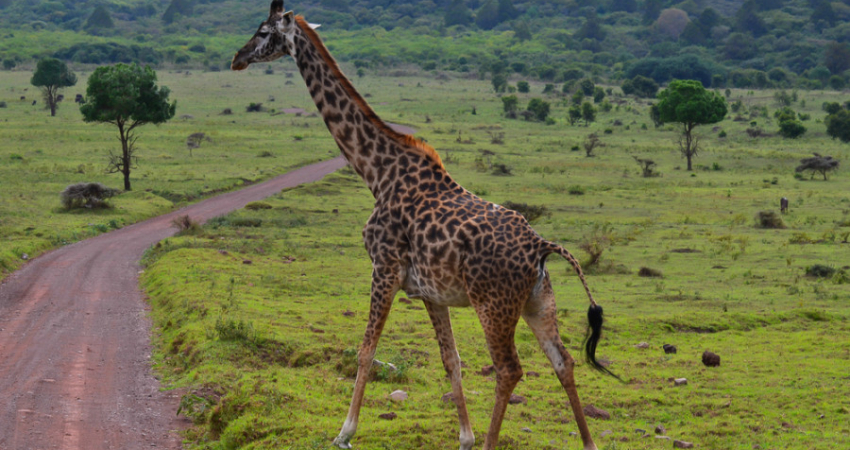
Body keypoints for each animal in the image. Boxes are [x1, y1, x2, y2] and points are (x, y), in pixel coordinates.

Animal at [232, 1, 616, 448]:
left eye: (262, 31)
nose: (237, 58)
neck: (377, 172)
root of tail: (542, 247)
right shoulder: (431, 292)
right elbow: (451, 358)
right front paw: (465, 437)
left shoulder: (384, 268)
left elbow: (366, 350)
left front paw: (345, 432)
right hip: (538, 302)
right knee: (563, 361)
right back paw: (587, 442)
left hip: (494, 305)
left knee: (510, 369)